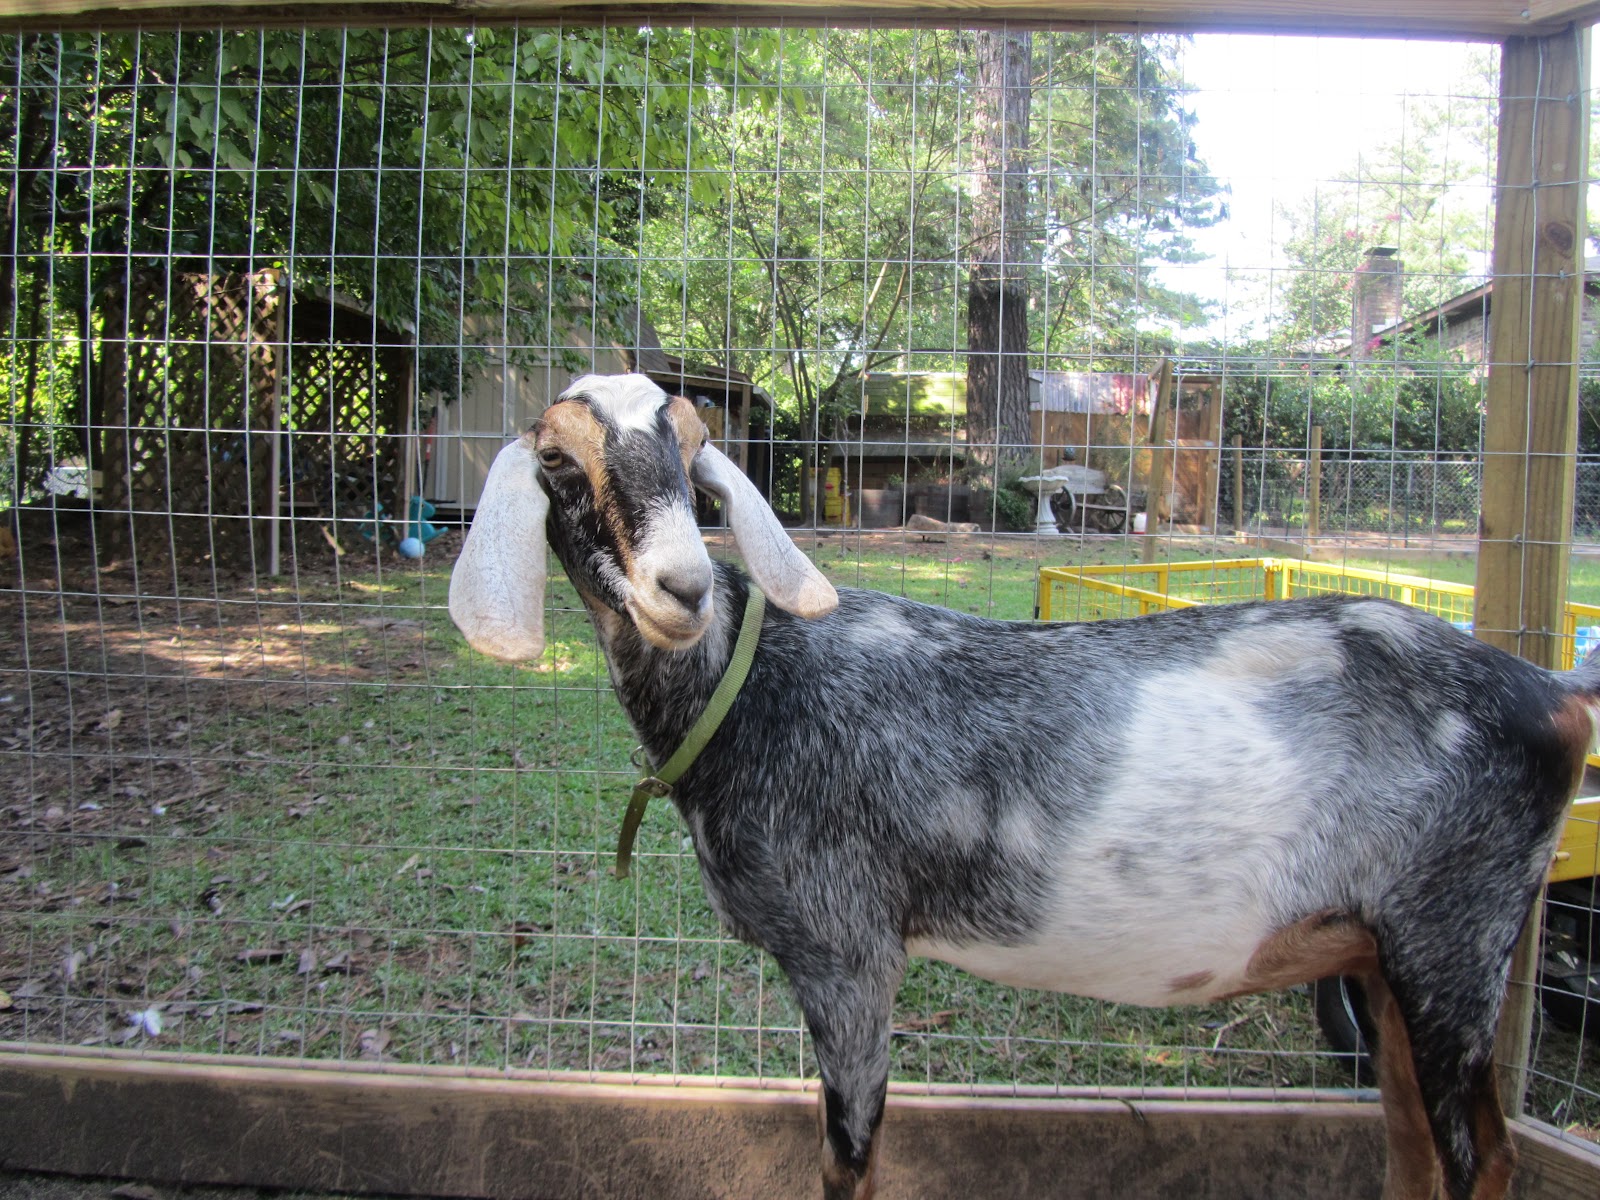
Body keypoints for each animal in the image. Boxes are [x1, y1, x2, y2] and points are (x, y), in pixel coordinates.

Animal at [449, 372, 1590, 1200]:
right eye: (556, 457)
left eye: (690, 449)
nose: (681, 588)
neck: (759, 687)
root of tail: (1554, 694)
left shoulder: (847, 951)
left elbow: (849, 1161)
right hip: (1384, 958)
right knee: (1420, 1153)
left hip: (1452, 941)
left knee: (1477, 1159)